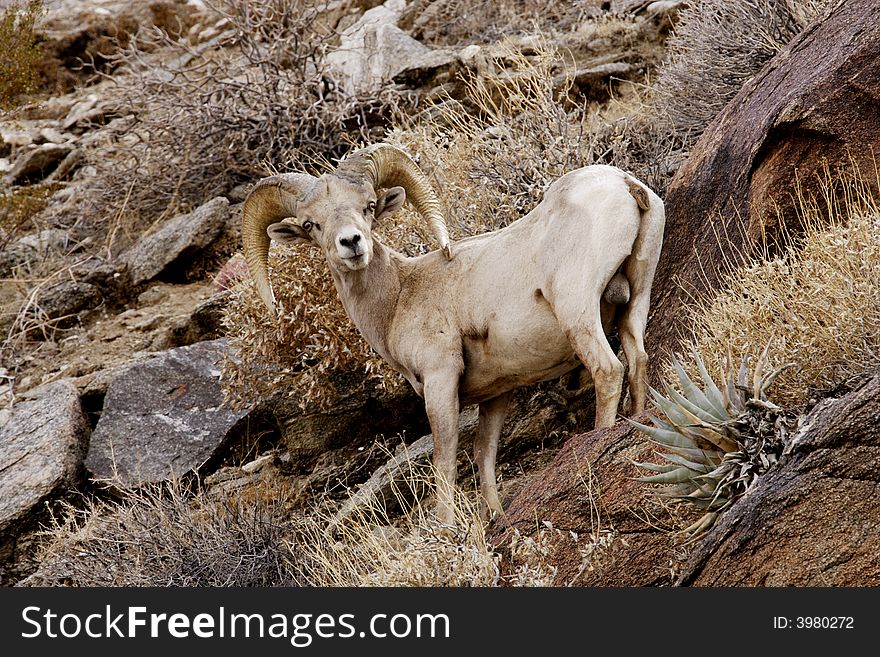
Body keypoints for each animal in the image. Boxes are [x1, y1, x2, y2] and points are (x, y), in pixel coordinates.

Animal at [241, 144, 660, 524]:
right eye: (310, 224)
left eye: (368, 206)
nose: (351, 243)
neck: (399, 297)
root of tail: (624, 185)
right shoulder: (498, 394)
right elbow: (484, 455)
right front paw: (494, 517)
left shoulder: (440, 380)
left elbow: (445, 460)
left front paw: (445, 528)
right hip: (636, 298)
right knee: (638, 358)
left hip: (578, 311)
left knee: (609, 371)